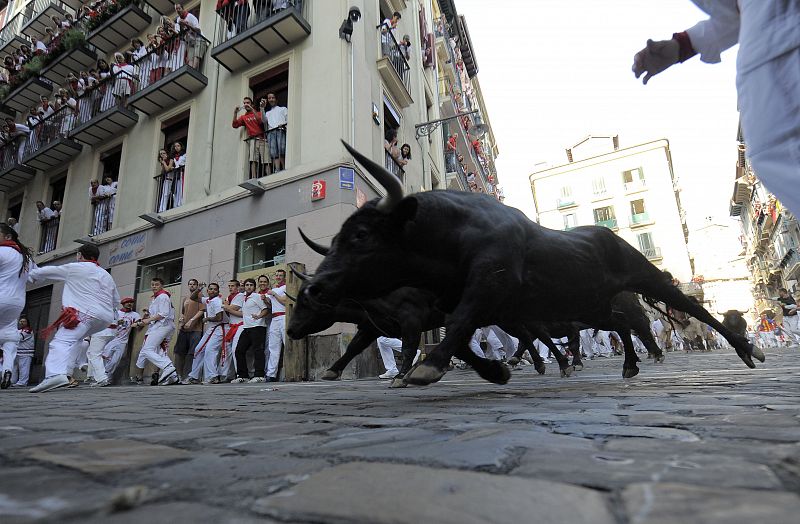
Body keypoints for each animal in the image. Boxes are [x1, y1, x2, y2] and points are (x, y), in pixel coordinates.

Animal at [288, 141, 764, 386]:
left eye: (361, 235)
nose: (313, 287)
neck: (451, 236)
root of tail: (606, 235)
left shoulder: (482, 287)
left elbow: (451, 330)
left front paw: (422, 368)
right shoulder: (438, 310)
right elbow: (450, 338)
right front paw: (490, 370)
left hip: (643, 277)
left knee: (691, 310)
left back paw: (745, 348)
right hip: (585, 305)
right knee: (614, 325)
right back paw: (621, 364)